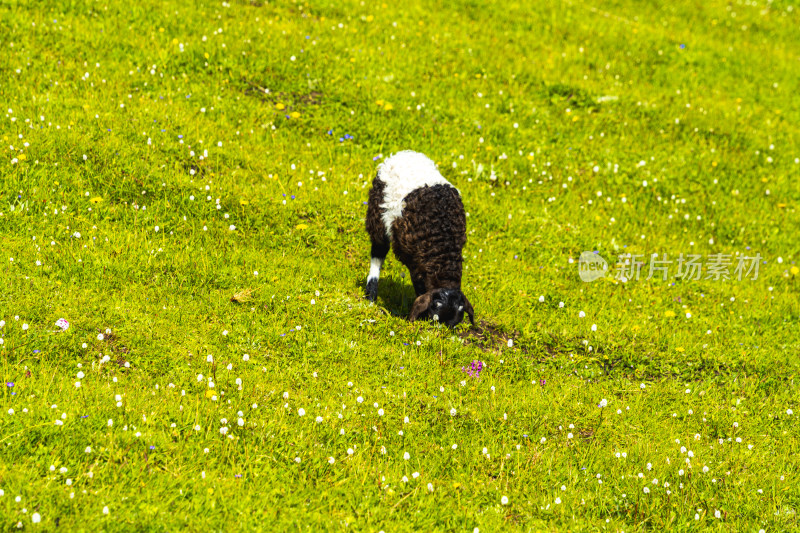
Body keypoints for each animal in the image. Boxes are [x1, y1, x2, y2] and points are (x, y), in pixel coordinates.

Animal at [364, 149, 472, 324]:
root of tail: (405, 153)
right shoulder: (413, 259)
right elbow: (419, 286)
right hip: (377, 214)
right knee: (377, 253)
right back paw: (371, 295)